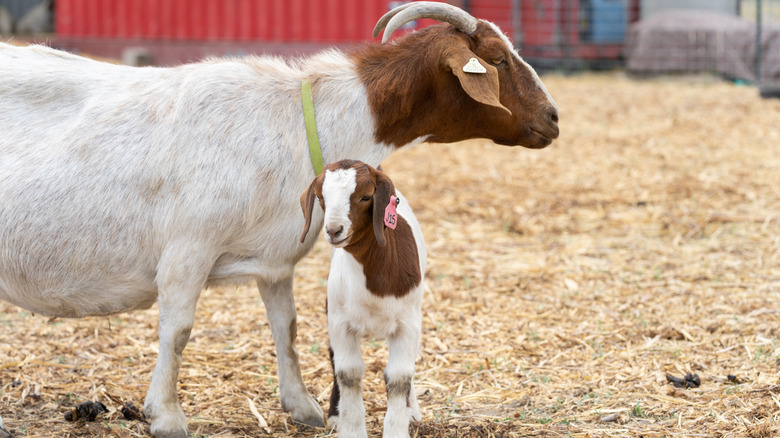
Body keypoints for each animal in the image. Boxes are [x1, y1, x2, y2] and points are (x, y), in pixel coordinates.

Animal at [300, 160, 426, 438]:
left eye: (366, 197)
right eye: (321, 197)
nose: (334, 230)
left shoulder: (408, 323)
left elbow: (399, 377)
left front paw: (398, 427)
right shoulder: (339, 321)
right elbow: (348, 373)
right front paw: (350, 427)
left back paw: (412, 410)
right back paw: (335, 414)